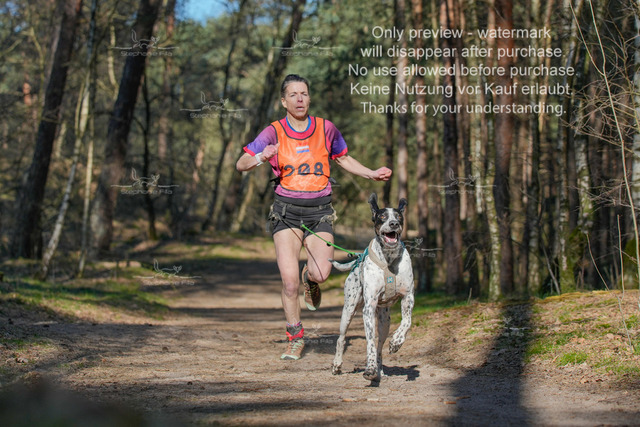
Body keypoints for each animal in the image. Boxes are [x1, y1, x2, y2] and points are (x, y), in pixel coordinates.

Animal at [330, 193, 414, 382]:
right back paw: (337, 365)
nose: (394, 224)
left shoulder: (408, 297)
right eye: (382, 216)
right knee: (341, 339)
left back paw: (380, 369)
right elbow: (369, 342)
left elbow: (407, 321)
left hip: (384, 322)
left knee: (380, 346)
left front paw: (397, 341)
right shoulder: (368, 307)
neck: (389, 259)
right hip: (349, 310)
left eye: (398, 216)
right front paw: (369, 369)